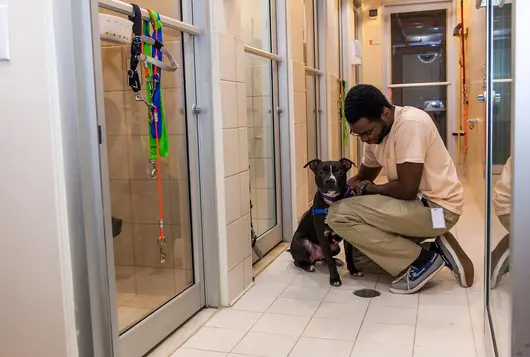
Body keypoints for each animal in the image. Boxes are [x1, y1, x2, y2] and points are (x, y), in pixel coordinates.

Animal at [288, 157, 358, 286]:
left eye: (339, 171)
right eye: (321, 172)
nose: (330, 180)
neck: (332, 202)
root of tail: (316, 257)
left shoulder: (347, 234)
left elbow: (348, 255)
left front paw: (353, 270)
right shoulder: (323, 235)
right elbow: (329, 261)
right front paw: (335, 279)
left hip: (335, 248)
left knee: (326, 257)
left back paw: (336, 260)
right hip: (303, 242)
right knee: (299, 261)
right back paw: (308, 266)